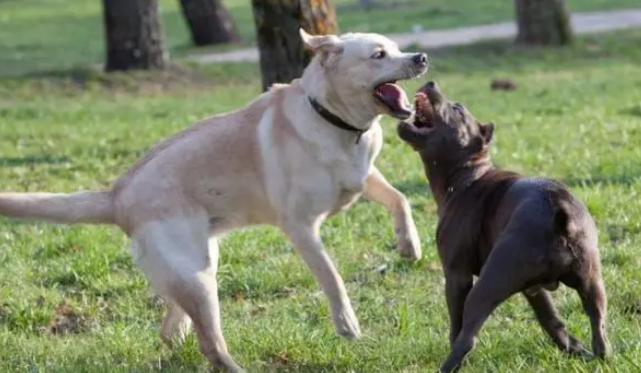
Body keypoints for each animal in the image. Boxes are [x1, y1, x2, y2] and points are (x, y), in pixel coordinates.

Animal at [2, 29, 428, 372]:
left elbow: (399, 199)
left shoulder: (364, 176)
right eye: (378, 55)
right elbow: (331, 276)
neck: (332, 119)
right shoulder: (301, 227)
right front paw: (346, 323)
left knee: (174, 325)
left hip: (200, 265)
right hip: (198, 279)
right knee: (211, 343)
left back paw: (176, 336)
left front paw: (409, 245)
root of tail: (117, 196)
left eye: (396, 47)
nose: (420, 57)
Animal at [396, 82, 608, 372]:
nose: (431, 83)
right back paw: (596, 355)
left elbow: (455, 326)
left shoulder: (456, 275)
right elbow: (552, 319)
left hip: (487, 286)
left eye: (457, 109)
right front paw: (573, 348)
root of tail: (558, 208)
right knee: (598, 323)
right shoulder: (534, 288)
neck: (467, 173)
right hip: (591, 280)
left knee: (467, 337)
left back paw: (448, 366)